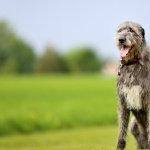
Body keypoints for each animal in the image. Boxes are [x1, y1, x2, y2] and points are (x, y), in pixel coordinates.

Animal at [115, 21, 150, 149]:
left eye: (131, 30)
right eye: (120, 30)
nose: (121, 39)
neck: (132, 64)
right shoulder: (122, 100)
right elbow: (121, 130)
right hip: (133, 125)